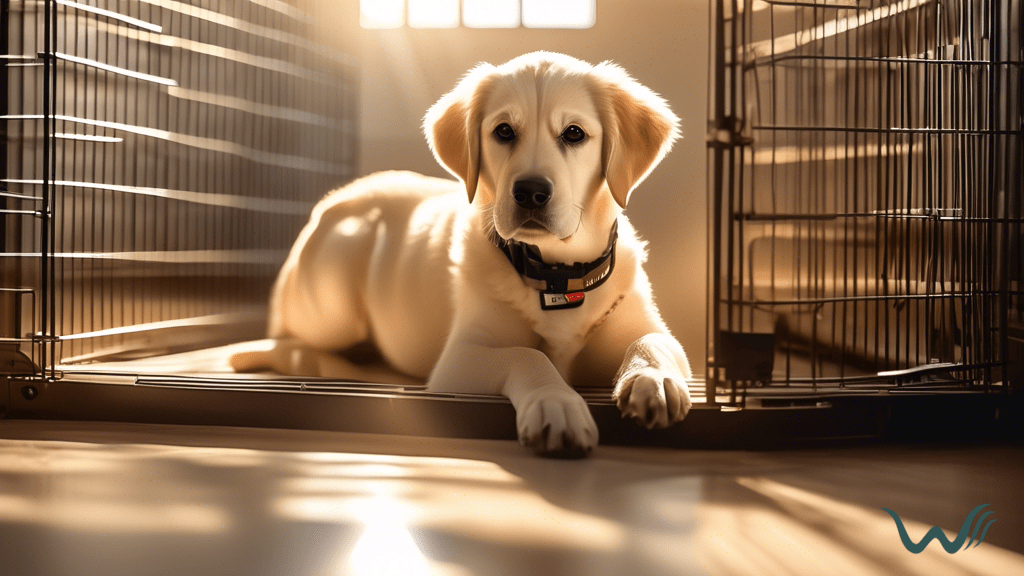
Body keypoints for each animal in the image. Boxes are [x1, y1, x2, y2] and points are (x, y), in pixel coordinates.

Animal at [230, 52, 696, 453]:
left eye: (574, 133)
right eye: (504, 131)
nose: (530, 192)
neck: (555, 273)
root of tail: (332, 200)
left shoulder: (649, 327)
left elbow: (654, 342)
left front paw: (651, 381)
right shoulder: (457, 360)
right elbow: (527, 354)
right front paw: (555, 403)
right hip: (334, 302)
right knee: (284, 334)